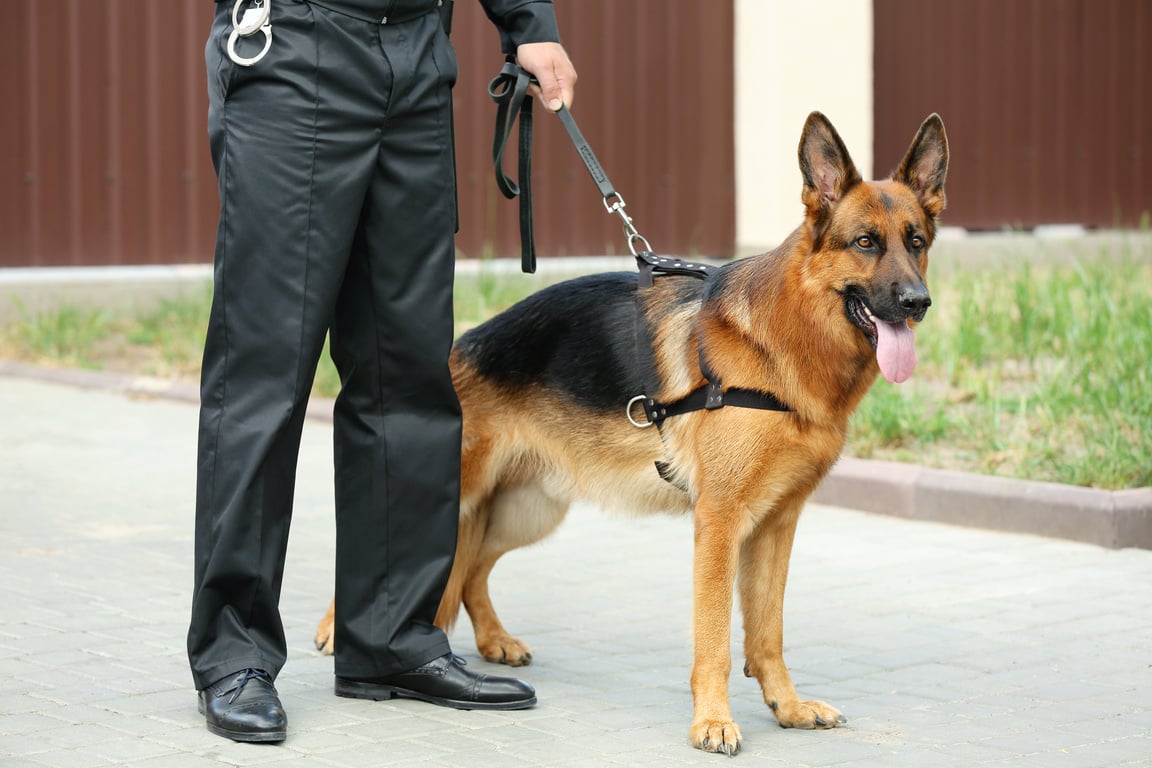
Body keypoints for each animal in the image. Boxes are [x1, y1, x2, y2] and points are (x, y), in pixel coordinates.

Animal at [320, 113, 949, 755]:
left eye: (916, 242)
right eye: (865, 243)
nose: (917, 303)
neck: (783, 339)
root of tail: (463, 346)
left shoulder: (777, 526)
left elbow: (767, 632)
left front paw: (788, 705)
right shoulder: (720, 525)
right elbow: (716, 638)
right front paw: (712, 721)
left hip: (526, 512)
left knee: (471, 569)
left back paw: (495, 641)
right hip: (461, 497)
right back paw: (338, 634)